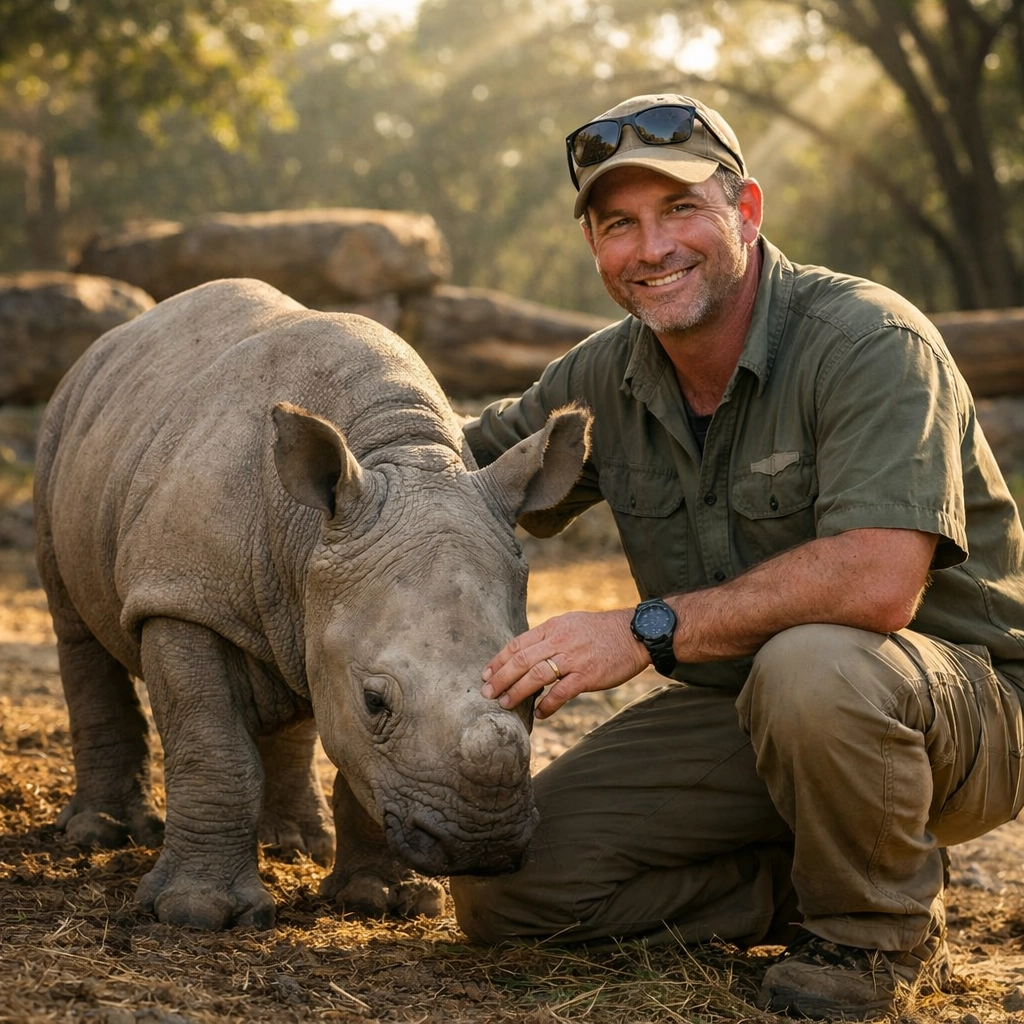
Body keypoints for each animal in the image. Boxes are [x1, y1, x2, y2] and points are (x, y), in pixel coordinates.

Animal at [33, 277, 589, 930]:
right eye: (375, 701)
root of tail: (117, 339)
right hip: (64, 424)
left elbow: (354, 755)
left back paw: (298, 845)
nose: (484, 846)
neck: (397, 454)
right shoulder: (181, 596)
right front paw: (200, 913)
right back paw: (102, 834)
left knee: (292, 658)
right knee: (76, 629)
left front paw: (383, 899)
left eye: (536, 691)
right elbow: (215, 749)